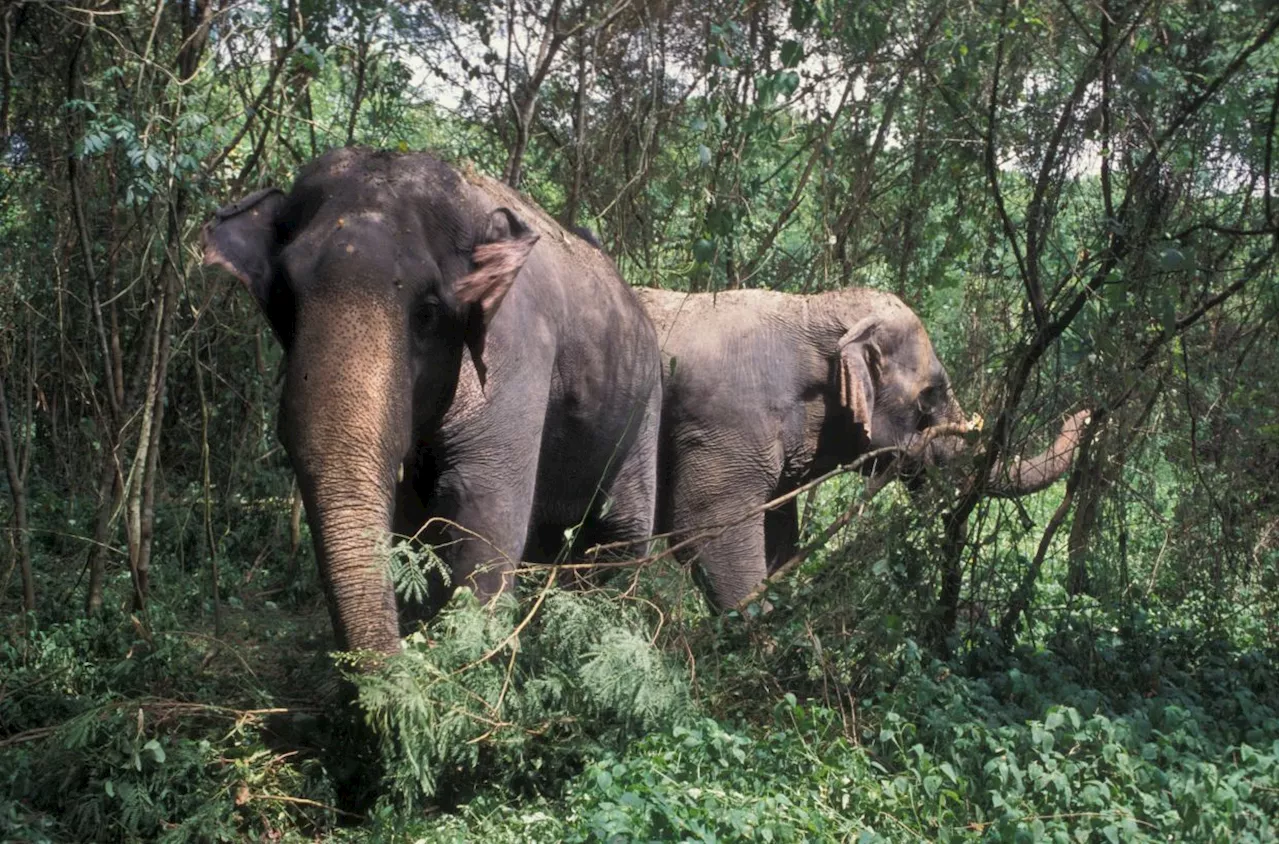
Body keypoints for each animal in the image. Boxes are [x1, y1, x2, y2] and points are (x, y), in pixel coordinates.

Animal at [202, 148, 660, 655]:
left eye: (427, 312)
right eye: (285, 301)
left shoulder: (519, 339)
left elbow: (482, 501)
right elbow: (413, 512)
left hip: (646, 404)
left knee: (622, 529)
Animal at [640, 286, 1090, 609]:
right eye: (930, 395)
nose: (1087, 414)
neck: (811, 309)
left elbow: (780, 535)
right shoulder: (730, 426)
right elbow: (705, 530)